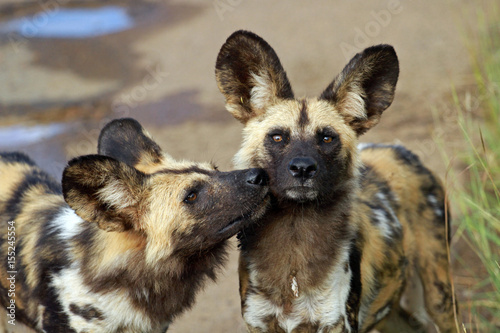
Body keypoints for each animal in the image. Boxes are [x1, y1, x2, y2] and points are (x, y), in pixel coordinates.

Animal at [215, 29, 458, 330]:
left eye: (327, 139)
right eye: (278, 137)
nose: (303, 168)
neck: (294, 239)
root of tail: (402, 150)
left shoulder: (335, 323)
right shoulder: (259, 323)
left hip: (439, 297)